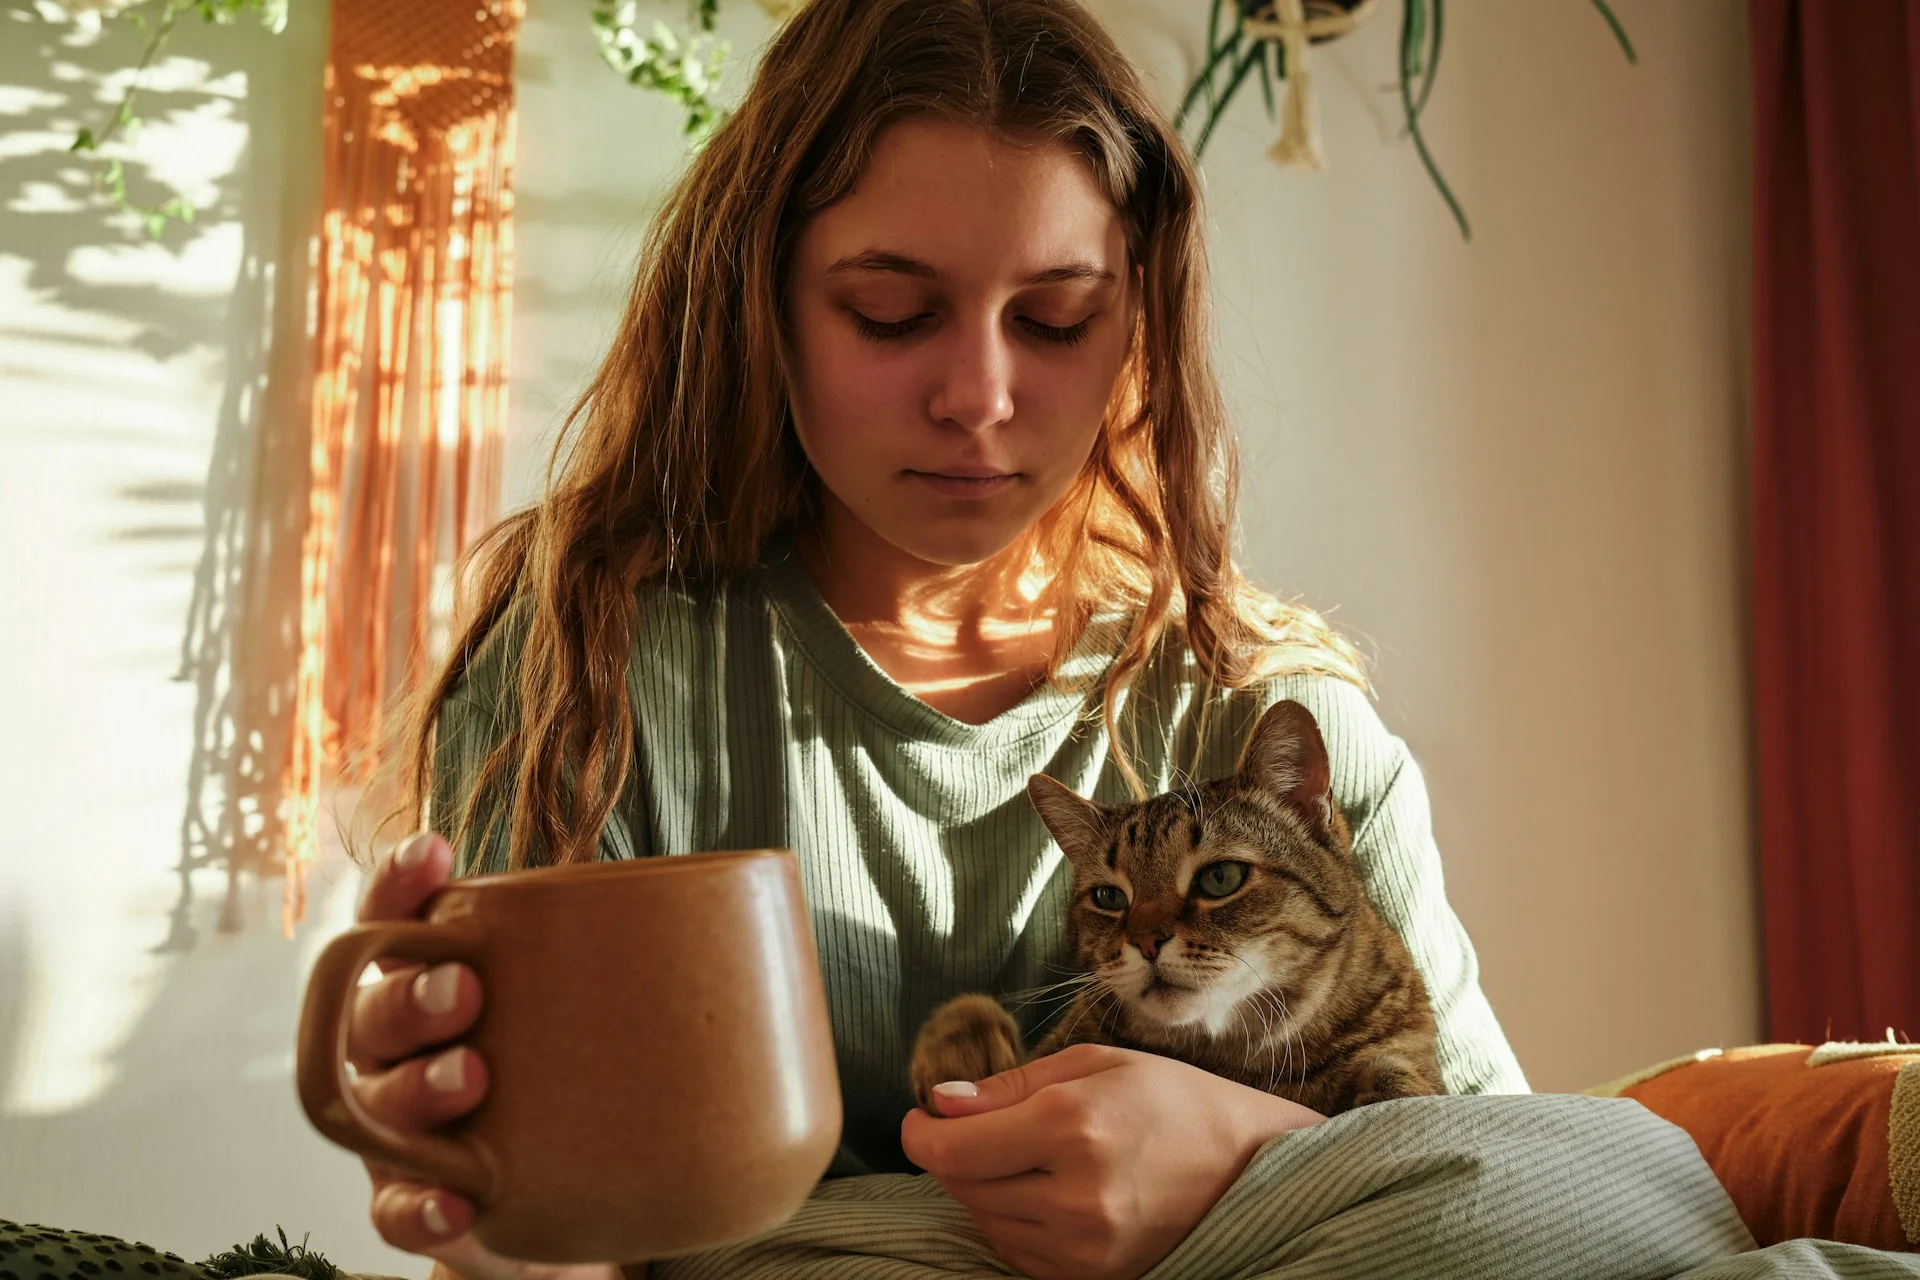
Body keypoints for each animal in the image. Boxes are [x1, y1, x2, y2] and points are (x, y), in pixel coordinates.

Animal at [910, 694, 1443, 1113]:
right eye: (1109, 897)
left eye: (1220, 878)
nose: (1146, 941)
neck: (1227, 1060)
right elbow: (972, 1019)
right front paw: (958, 1058)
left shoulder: (1401, 1046)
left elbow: (1402, 1093)